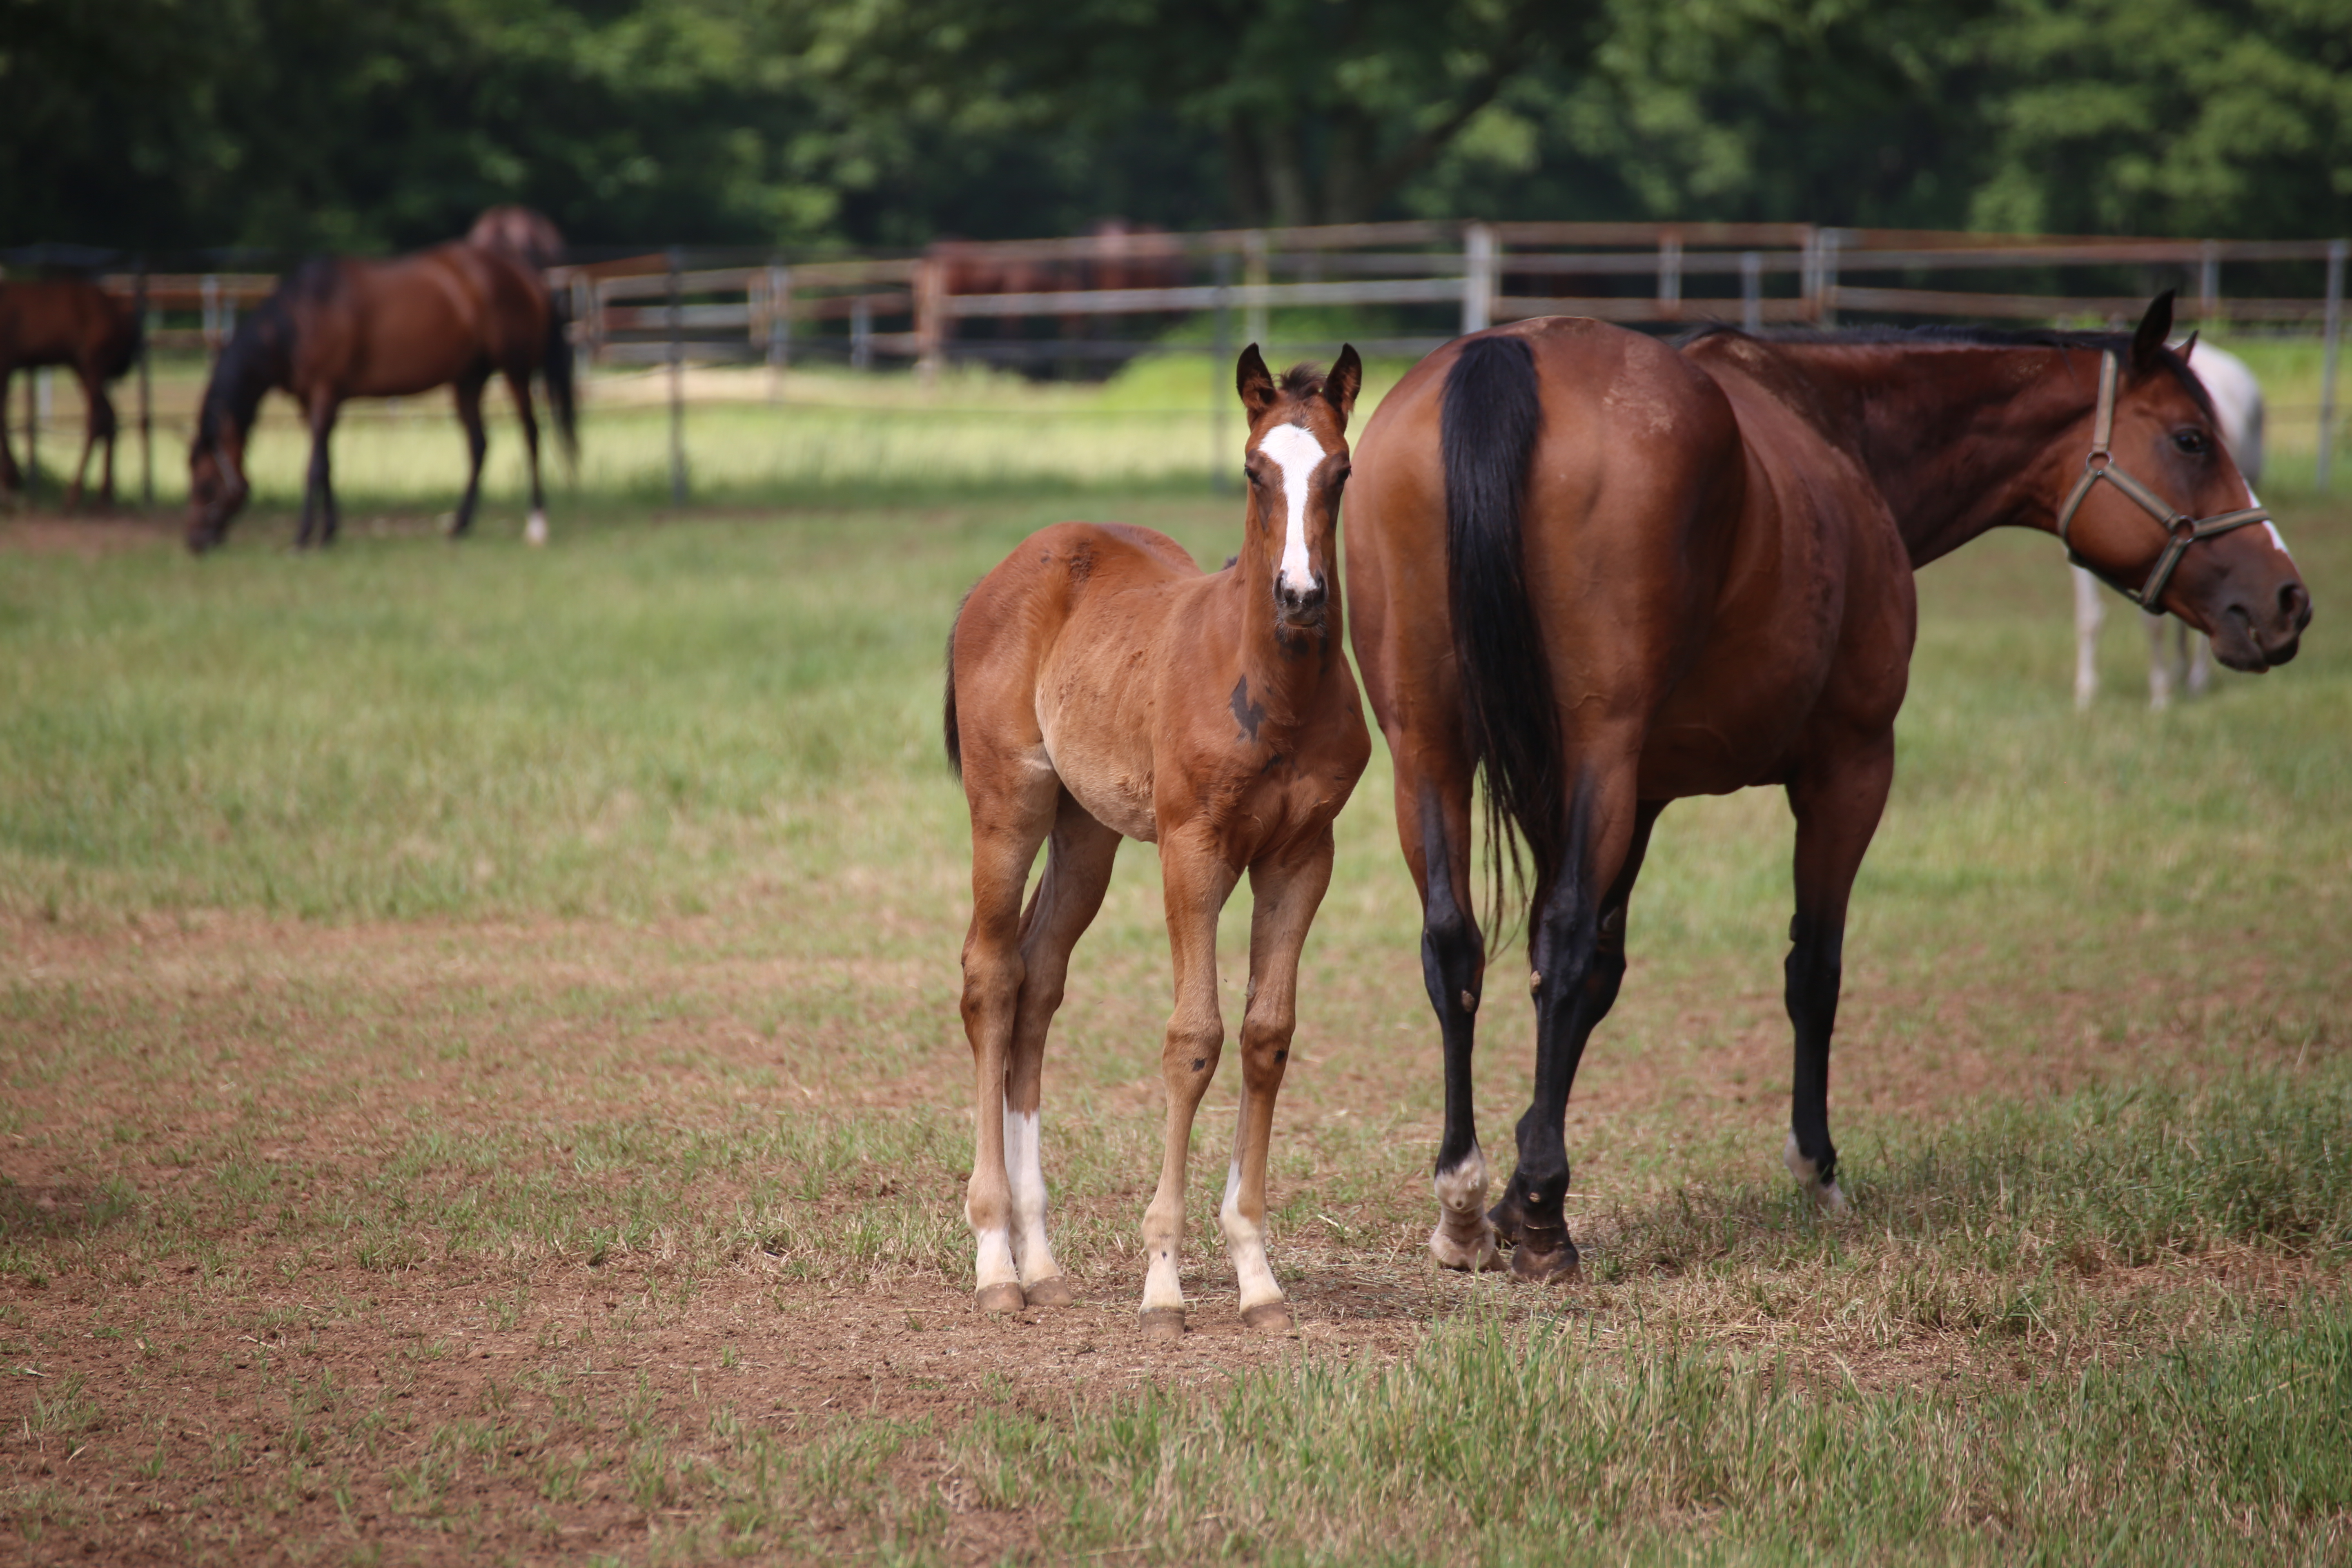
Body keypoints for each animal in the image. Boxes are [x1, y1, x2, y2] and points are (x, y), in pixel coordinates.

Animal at [0, 276, 140, 510]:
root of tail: (122, 315)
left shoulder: (7, 359)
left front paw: (11, 480)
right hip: (81, 366)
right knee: (109, 416)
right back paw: (104, 496)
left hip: (91, 363)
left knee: (99, 417)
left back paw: (74, 496)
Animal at [186, 232, 576, 552]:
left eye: (206, 485)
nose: (196, 542)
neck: (300, 318)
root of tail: (524, 273)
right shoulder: (312, 403)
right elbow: (327, 464)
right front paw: (328, 532)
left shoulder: (325, 394)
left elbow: (313, 466)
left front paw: (303, 537)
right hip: (468, 380)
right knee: (479, 446)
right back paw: (459, 526)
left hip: (516, 372)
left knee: (531, 435)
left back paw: (536, 524)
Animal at [941, 343, 1373, 1335]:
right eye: (1255, 471)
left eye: (1341, 471)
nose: (1301, 594)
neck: (1272, 688)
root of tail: (1008, 571)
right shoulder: (1194, 848)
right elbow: (1194, 1039)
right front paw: (1165, 1280)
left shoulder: (1303, 856)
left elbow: (1266, 1035)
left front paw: (1256, 1274)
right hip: (1010, 803)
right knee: (990, 978)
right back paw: (995, 1262)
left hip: (1087, 832)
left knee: (1038, 982)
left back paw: (1042, 1260)